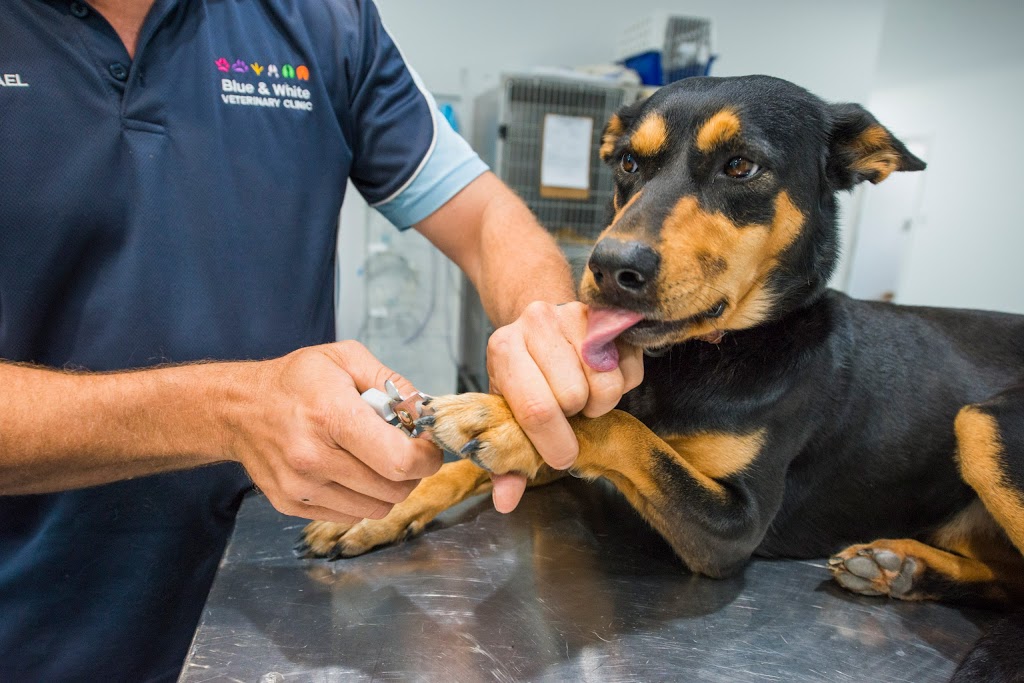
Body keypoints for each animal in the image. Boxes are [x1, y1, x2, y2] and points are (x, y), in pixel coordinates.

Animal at [296, 74, 1024, 679]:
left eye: (740, 165)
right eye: (626, 163)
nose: (607, 266)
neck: (695, 360)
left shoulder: (734, 528)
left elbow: (619, 428)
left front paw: (495, 415)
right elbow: (470, 465)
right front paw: (378, 510)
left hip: (981, 420)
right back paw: (900, 567)